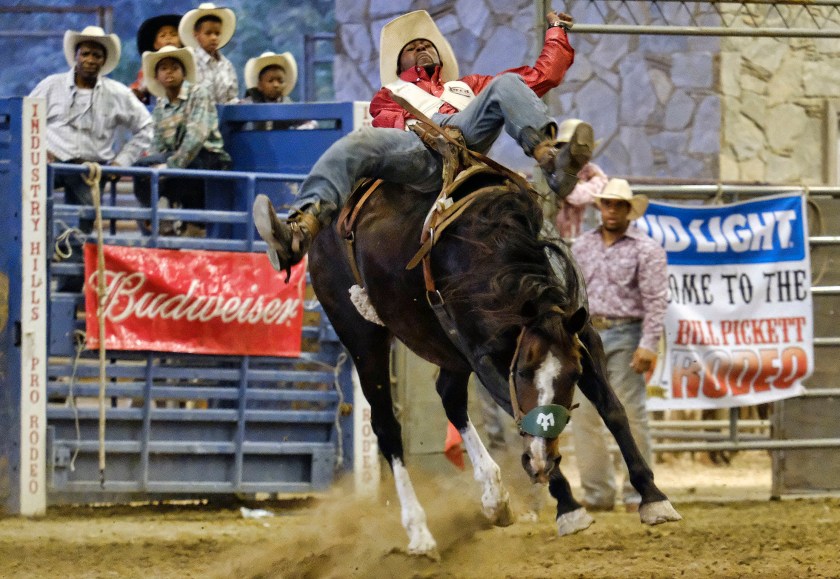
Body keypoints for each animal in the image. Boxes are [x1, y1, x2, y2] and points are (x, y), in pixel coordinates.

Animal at [306, 170, 680, 556]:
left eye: (572, 374)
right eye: (524, 372)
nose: (544, 462)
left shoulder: (583, 339)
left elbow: (613, 409)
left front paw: (654, 498)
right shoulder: (485, 357)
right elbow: (522, 419)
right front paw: (568, 506)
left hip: (447, 349)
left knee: (451, 399)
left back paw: (495, 496)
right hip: (363, 337)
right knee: (386, 425)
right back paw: (420, 532)